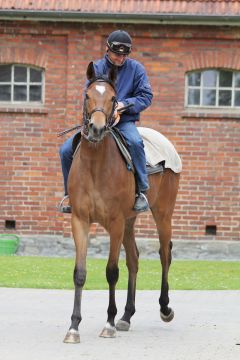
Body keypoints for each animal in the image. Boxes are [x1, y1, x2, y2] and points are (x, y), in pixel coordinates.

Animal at [63, 62, 180, 344]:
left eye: (114, 99)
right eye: (87, 95)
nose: (96, 129)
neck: (96, 165)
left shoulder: (115, 223)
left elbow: (111, 271)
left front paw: (108, 323)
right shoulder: (80, 221)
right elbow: (80, 273)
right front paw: (74, 326)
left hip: (163, 215)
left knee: (164, 255)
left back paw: (165, 308)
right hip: (129, 221)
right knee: (135, 259)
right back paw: (126, 315)